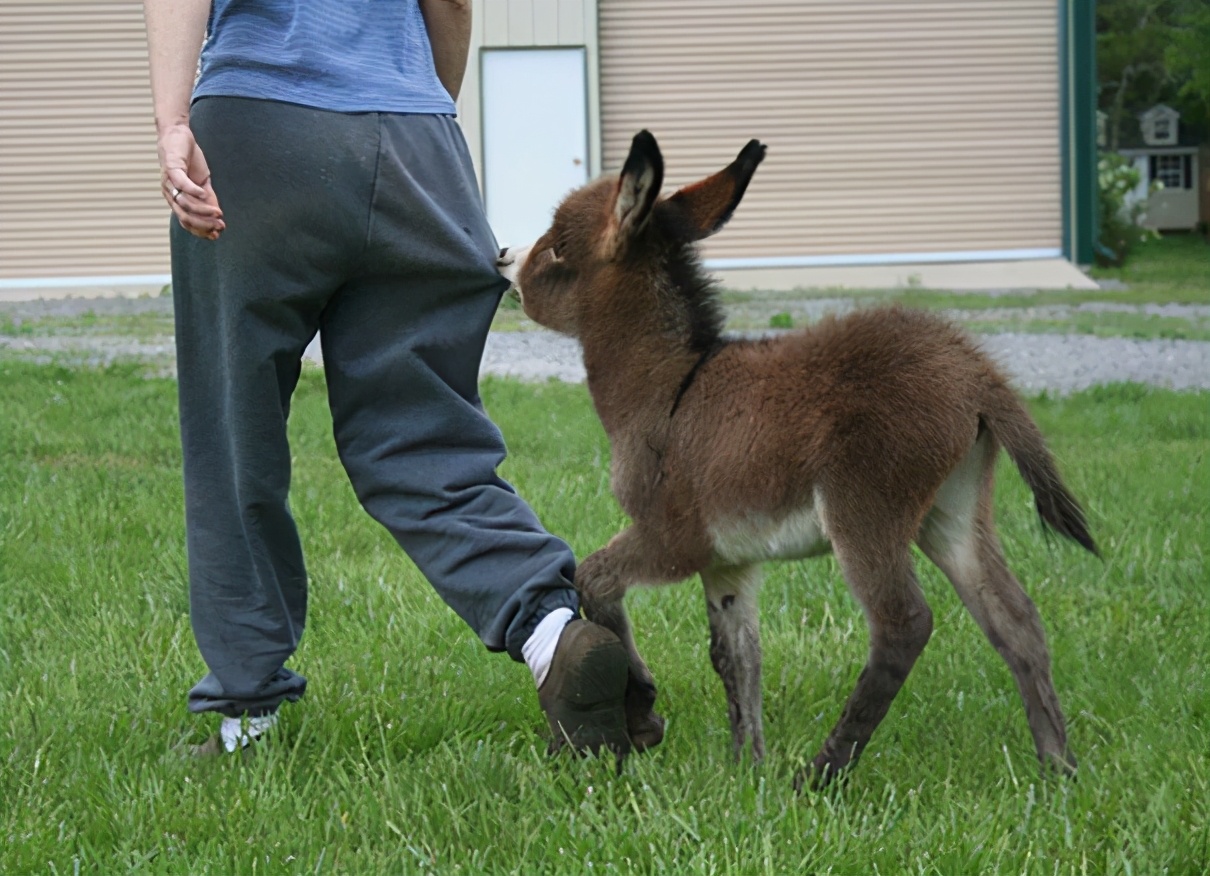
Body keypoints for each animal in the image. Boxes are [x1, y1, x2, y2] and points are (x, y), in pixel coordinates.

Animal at [500, 130, 1098, 788]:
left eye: (558, 247)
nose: (502, 257)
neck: (672, 386)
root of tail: (975, 372)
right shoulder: (727, 562)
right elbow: (735, 657)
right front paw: (744, 769)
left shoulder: (673, 538)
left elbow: (592, 577)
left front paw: (643, 714)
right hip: (952, 512)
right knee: (1014, 619)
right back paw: (1058, 769)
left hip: (865, 511)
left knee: (904, 625)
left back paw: (823, 773)